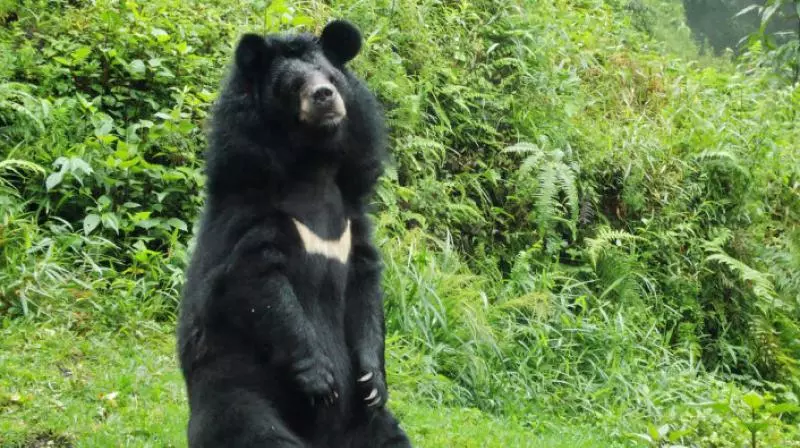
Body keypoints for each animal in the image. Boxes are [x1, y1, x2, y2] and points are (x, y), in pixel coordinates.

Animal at [176, 19, 412, 446]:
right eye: (292, 84)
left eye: (331, 77)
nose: (324, 96)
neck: (313, 166)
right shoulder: (250, 215)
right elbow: (261, 285)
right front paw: (321, 380)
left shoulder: (352, 222)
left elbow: (365, 289)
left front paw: (372, 381)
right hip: (236, 390)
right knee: (253, 429)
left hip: (368, 425)